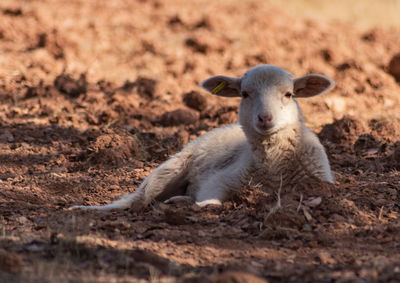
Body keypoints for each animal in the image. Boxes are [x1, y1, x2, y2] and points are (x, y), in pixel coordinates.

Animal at [71, 64, 334, 211]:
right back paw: (85, 208)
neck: (274, 168)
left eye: (289, 94)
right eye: (244, 93)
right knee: (135, 201)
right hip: (170, 168)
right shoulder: (220, 179)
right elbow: (210, 202)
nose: (265, 118)